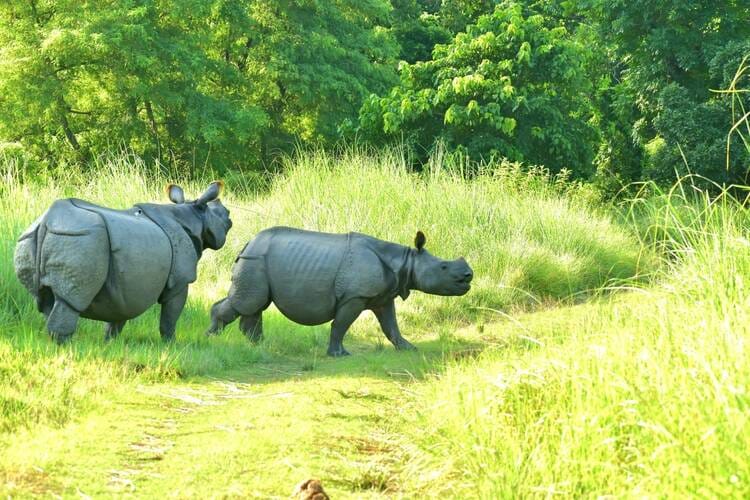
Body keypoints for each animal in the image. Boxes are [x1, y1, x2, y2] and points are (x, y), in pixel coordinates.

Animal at [14, 182, 232, 343]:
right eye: (222, 214)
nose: (230, 216)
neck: (192, 217)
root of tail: (47, 221)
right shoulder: (180, 281)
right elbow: (171, 315)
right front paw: (170, 344)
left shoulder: (126, 285)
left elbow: (119, 312)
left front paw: (110, 342)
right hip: (82, 237)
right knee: (70, 300)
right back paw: (65, 346)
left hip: (33, 236)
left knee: (45, 300)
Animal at [207, 227, 473, 356]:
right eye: (444, 267)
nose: (469, 275)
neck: (405, 261)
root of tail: (247, 243)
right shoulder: (354, 297)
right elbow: (341, 325)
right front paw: (338, 354)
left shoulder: (384, 296)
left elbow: (391, 326)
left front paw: (408, 349)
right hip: (255, 261)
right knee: (248, 302)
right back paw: (212, 338)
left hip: (256, 261)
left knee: (254, 304)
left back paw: (260, 345)